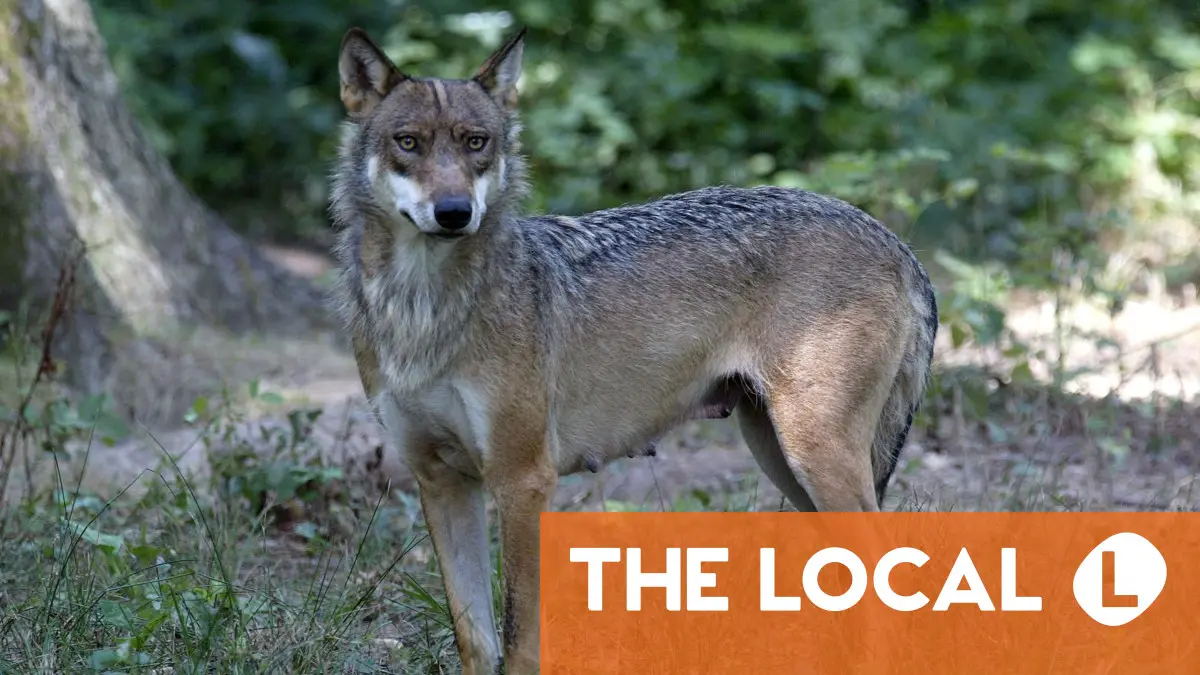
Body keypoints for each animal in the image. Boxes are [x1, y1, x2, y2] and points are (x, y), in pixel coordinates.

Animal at [330, 25, 938, 675]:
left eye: (476, 143)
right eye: (408, 143)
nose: (453, 213)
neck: (423, 308)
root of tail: (896, 241)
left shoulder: (524, 480)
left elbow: (520, 642)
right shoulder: (441, 482)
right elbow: (475, 639)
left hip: (813, 458)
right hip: (784, 462)